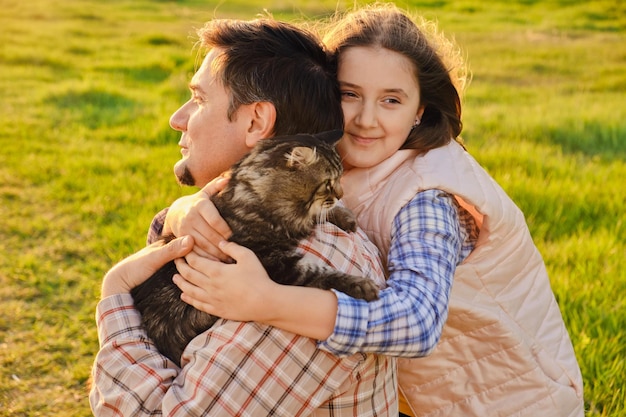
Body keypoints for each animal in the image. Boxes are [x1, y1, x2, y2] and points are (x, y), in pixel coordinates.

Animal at [129, 130, 378, 364]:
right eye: (328, 183)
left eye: (339, 179)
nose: (341, 194)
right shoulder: (277, 262)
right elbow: (323, 273)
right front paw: (363, 286)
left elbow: (321, 215)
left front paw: (346, 217)